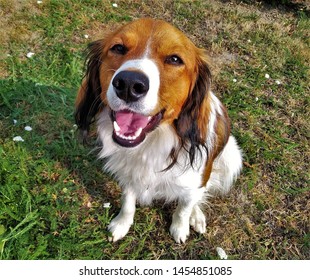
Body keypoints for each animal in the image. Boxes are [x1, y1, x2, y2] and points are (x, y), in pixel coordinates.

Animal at [75, 17, 242, 243]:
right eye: (118, 48)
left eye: (174, 59)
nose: (128, 84)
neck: (151, 143)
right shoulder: (128, 174)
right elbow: (128, 202)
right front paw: (122, 224)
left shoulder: (194, 182)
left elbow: (184, 207)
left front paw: (180, 228)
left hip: (232, 157)